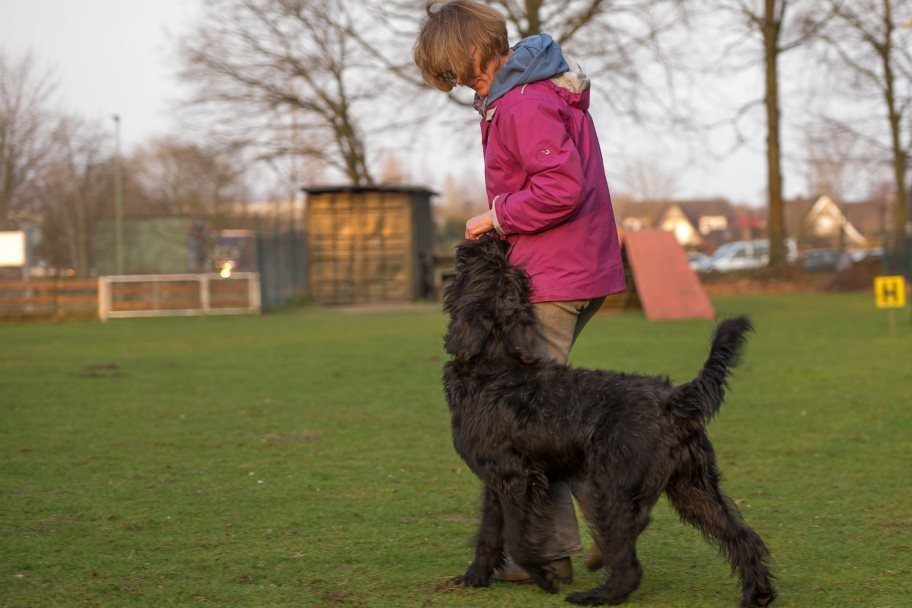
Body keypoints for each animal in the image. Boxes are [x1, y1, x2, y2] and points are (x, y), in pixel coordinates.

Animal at [442, 235, 776, 604]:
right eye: (508, 272)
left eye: (488, 266)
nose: (492, 238)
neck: (494, 365)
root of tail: (674, 400)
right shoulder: (495, 481)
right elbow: (488, 534)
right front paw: (474, 577)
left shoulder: (518, 479)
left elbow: (517, 539)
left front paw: (544, 577)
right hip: (694, 488)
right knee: (742, 536)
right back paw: (758, 592)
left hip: (609, 486)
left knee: (630, 553)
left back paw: (599, 593)